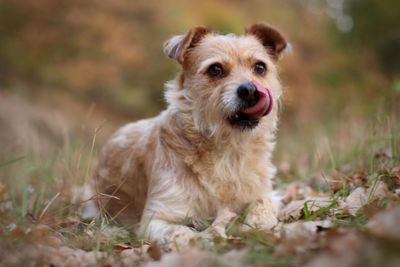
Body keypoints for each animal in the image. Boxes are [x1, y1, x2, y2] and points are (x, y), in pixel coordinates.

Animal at [92, 23, 288, 249]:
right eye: (215, 69)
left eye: (259, 67)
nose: (250, 91)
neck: (228, 149)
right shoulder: (156, 218)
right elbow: (182, 233)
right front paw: (206, 238)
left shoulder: (266, 193)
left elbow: (262, 206)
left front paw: (254, 226)